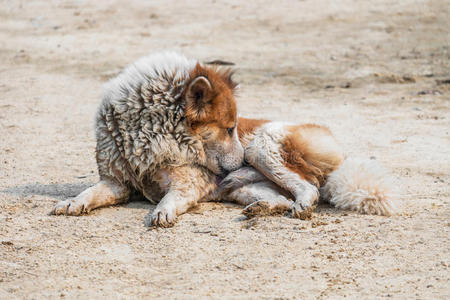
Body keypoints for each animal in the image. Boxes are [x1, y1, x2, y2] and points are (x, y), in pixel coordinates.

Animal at [50, 52, 244, 226]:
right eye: (229, 129)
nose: (244, 162)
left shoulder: (187, 184)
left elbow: (171, 197)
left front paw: (163, 211)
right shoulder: (116, 182)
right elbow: (89, 192)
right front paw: (73, 202)